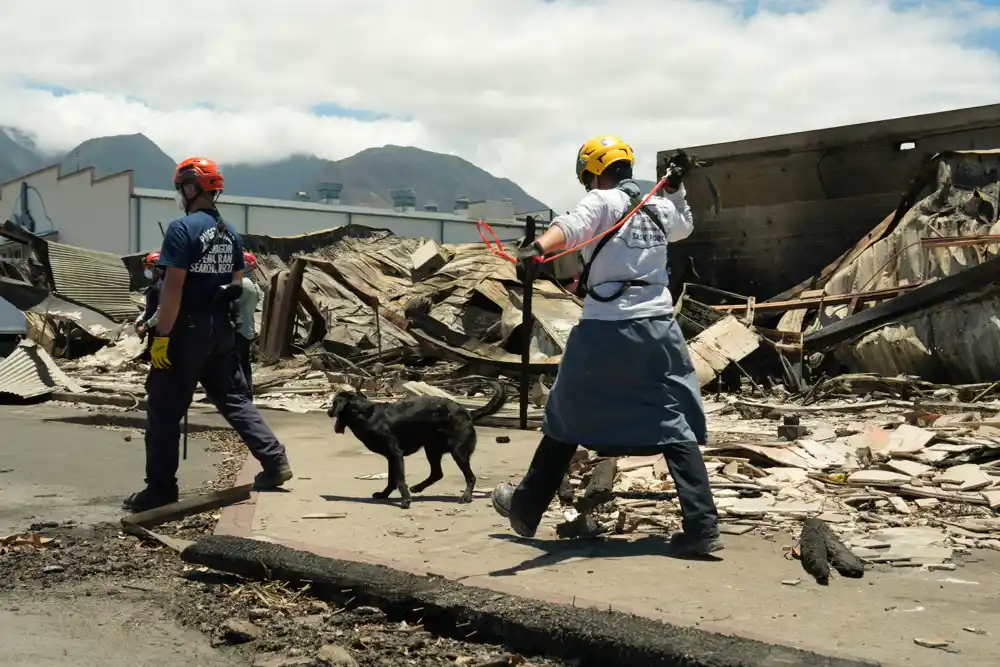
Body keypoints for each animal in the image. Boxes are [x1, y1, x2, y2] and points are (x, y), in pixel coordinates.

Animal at [328, 384, 508, 508]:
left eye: (334, 402)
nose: (328, 412)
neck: (365, 414)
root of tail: (468, 414)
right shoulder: (391, 457)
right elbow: (392, 479)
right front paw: (385, 494)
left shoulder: (395, 454)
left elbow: (399, 479)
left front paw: (405, 500)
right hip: (432, 449)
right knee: (437, 473)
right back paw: (418, 488)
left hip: (458, 452)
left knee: (470, 476)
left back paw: (466, 497)